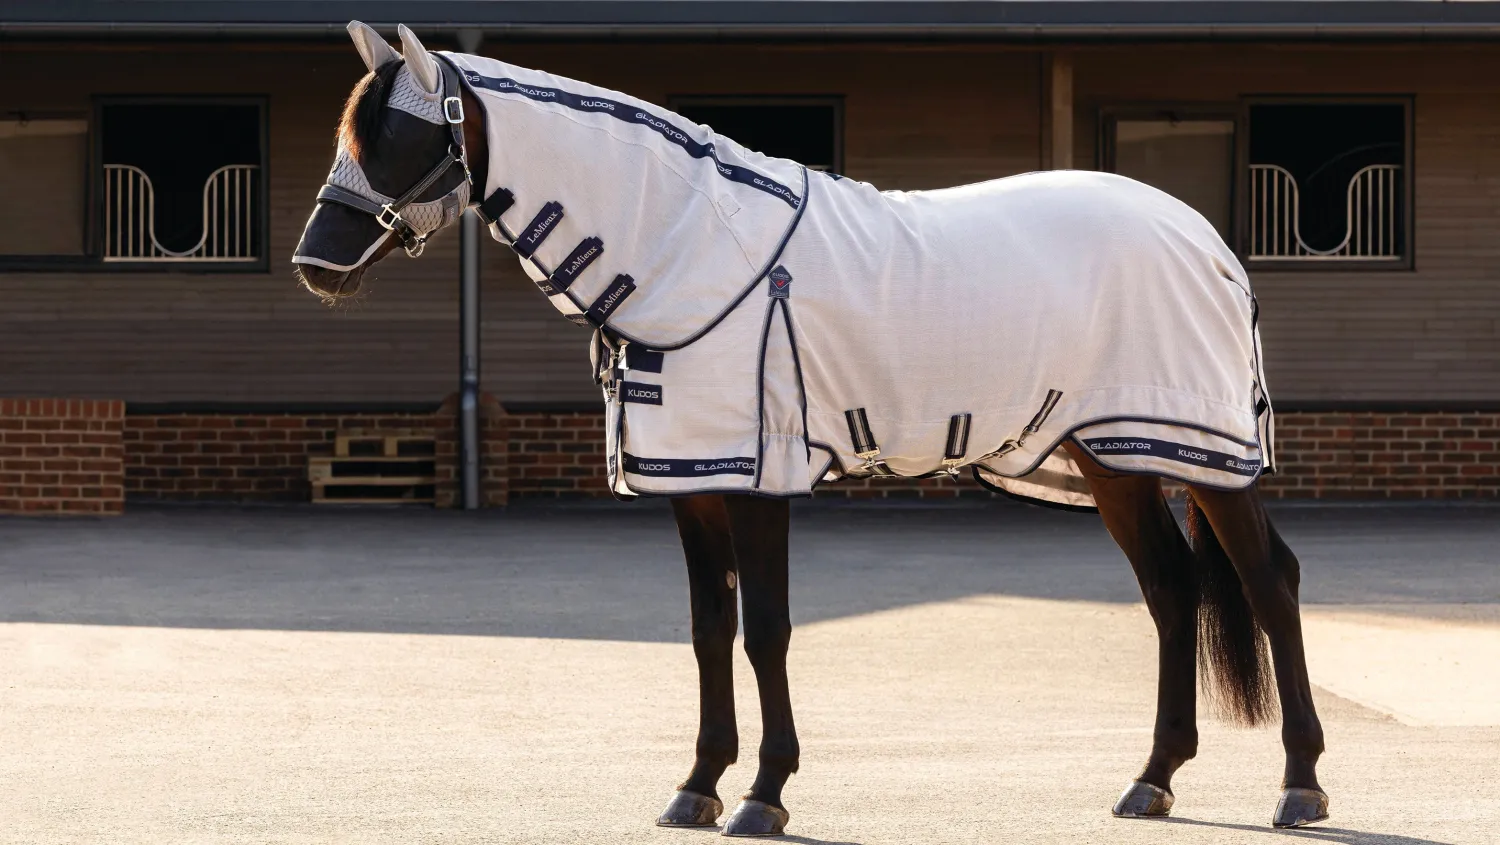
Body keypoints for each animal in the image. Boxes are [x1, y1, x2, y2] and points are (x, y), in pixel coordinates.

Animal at [292, 21, 1328, 837]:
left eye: (401, 135)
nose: (315, 264)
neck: (692, 249)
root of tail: (1208, 240)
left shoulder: (759, 477)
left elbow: (767, 630)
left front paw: (764, 793)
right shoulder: (694, 482)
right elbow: (709, 628)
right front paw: (697, 787)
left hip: (1208, 459)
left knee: (1269, 582)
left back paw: (1300, 785)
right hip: (1114, 458)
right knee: (1171, 590)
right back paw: (1152, 779)